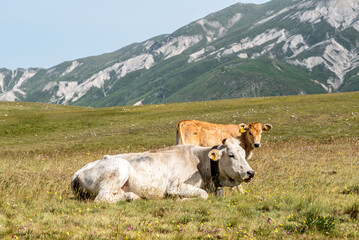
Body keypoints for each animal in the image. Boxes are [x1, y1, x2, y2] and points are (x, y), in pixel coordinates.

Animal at [71, 137, 255, 202]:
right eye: (231, 155)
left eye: (244, 154)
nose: (250, 173)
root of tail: (79, 171)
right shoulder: (175, 185)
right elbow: (202, 195)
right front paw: (181, 199)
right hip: (119, 168)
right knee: (102, 198)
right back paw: (132, 197)